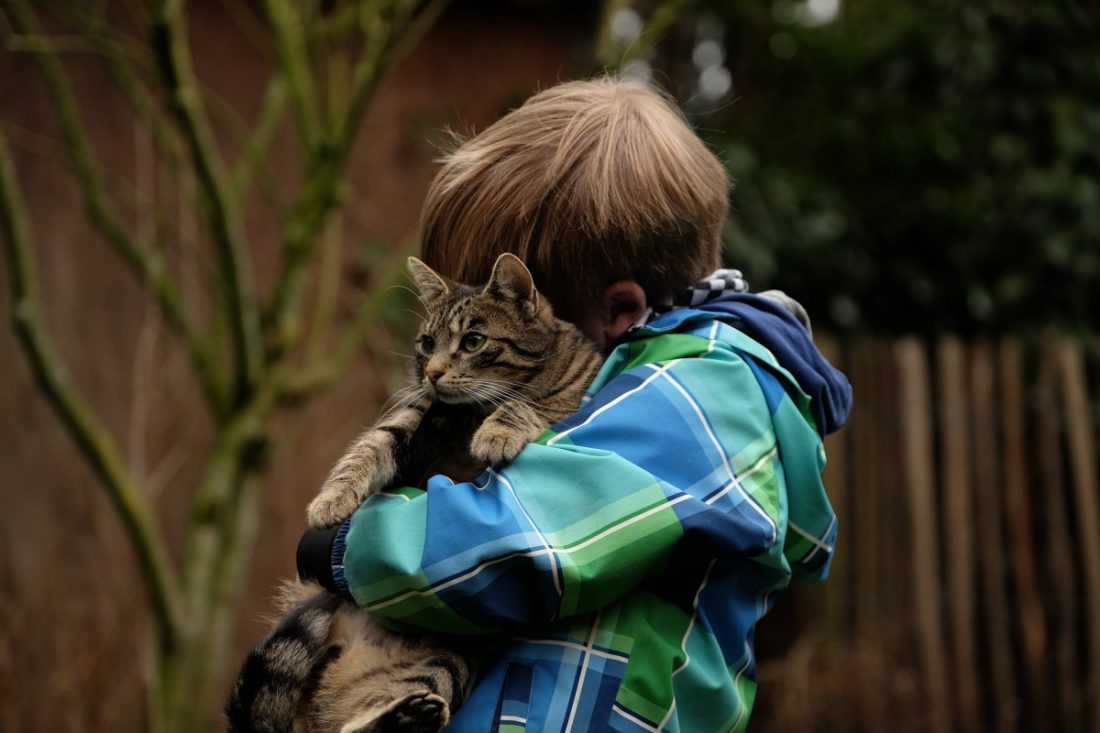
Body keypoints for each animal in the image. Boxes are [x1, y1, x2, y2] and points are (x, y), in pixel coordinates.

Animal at [224, 253, 602, 730]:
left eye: (473, 341)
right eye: (427, 342)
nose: (432, 372)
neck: (469, 413)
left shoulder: (565, 399)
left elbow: (528, 403)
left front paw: (497, 432)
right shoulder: (413, 415)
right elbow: (368, 448)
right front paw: (330, 500)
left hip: (448, 660)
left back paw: (408, 714)